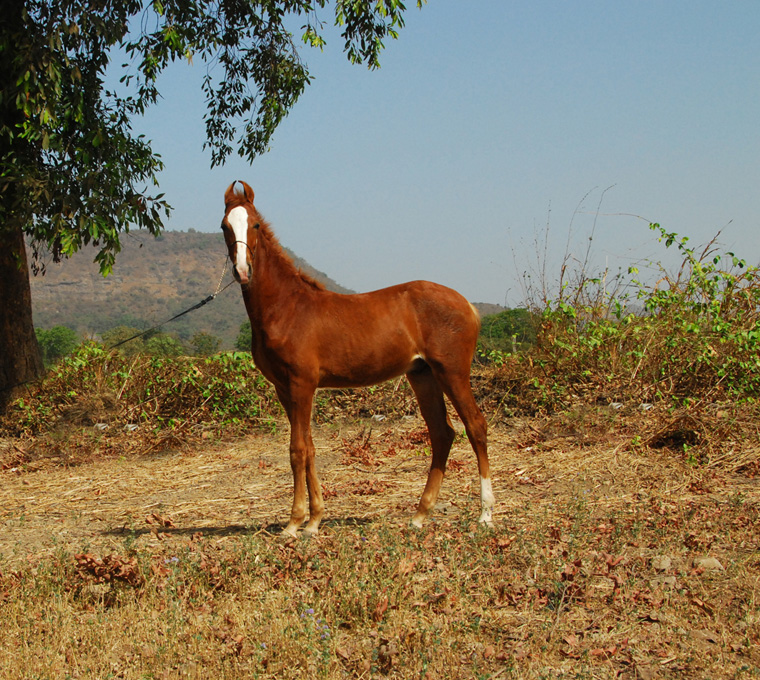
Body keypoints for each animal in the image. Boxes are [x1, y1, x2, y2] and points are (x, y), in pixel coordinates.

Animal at [221, 181, 493, 538]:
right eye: (225, 226)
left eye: (253, 225)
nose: (242, 271)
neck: (287, 308)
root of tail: (468, 305)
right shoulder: (285, 388)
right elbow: (309, 448)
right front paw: (314, 520)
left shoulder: (302, 384)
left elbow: (297, 450)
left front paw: (294, 523)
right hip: (423, 375)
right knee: (442, 433)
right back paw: (420, 515)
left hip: (452, 371)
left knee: (475, 426)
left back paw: (485, 515)